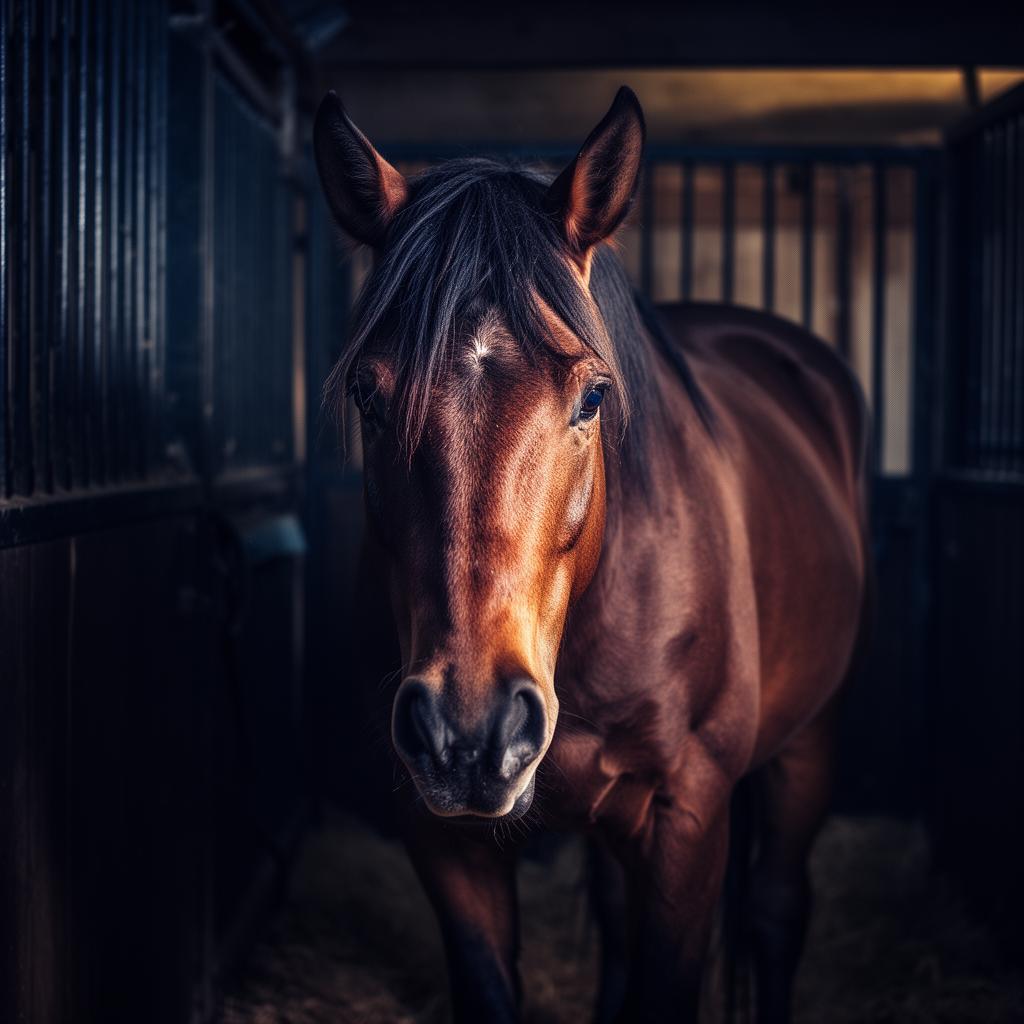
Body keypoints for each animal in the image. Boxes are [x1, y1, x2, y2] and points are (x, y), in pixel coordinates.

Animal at [313, 86, 870, 1024]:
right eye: (368, 396)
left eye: (593, 397)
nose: (472, 732)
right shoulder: (441, 838)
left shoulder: (690, 817)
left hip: (814, 737)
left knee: (774, 910)